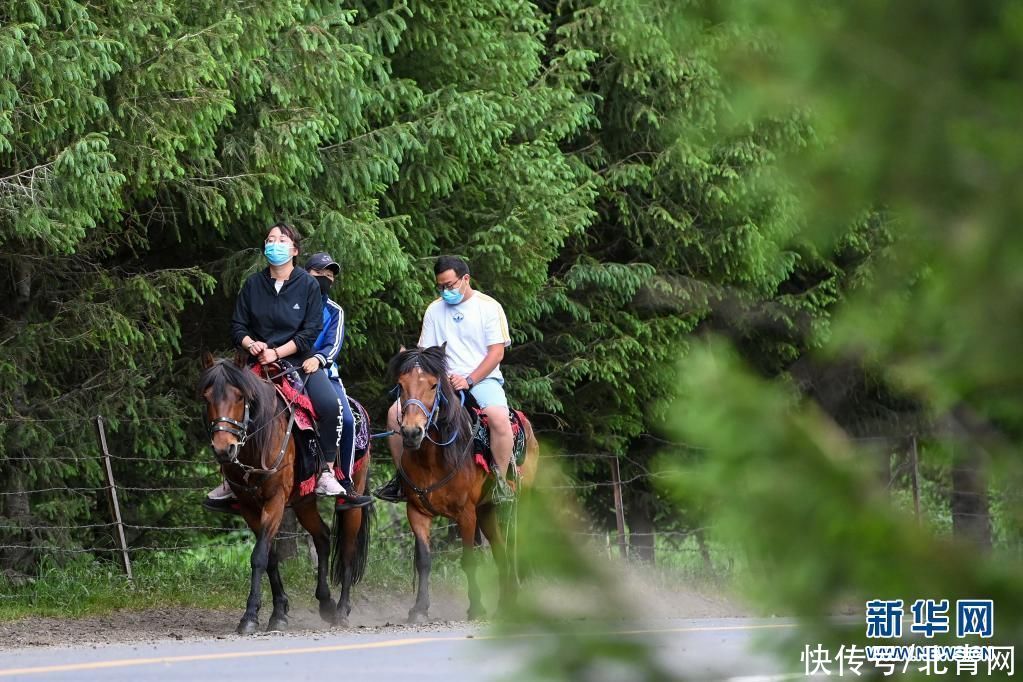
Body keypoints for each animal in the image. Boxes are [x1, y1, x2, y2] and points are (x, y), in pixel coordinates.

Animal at [198, 355, 372, 633]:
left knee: (347, 549)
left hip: (352, 499)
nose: (224, 449)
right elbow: (270, 556)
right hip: (304, 501)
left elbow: (259, 556)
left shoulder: (276, 501)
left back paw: (342, 611)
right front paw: (279, 611)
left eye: (239, 396)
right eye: (207, 397)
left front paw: (250, 616)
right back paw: (326, 603)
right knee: (322, 536)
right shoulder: (248, 507)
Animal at [384, 347, 540, 625]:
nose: (412, 432)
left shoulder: (465, 513)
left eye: (433, 385)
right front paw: (419, 609)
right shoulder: (417, 511)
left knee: (515, 546)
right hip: (487, 510)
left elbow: (469, 560)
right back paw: (505, 603)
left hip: (518, 503)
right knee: (500, 550)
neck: (432, 458)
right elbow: (424, 561)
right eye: (401, 385)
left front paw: (476, 608)